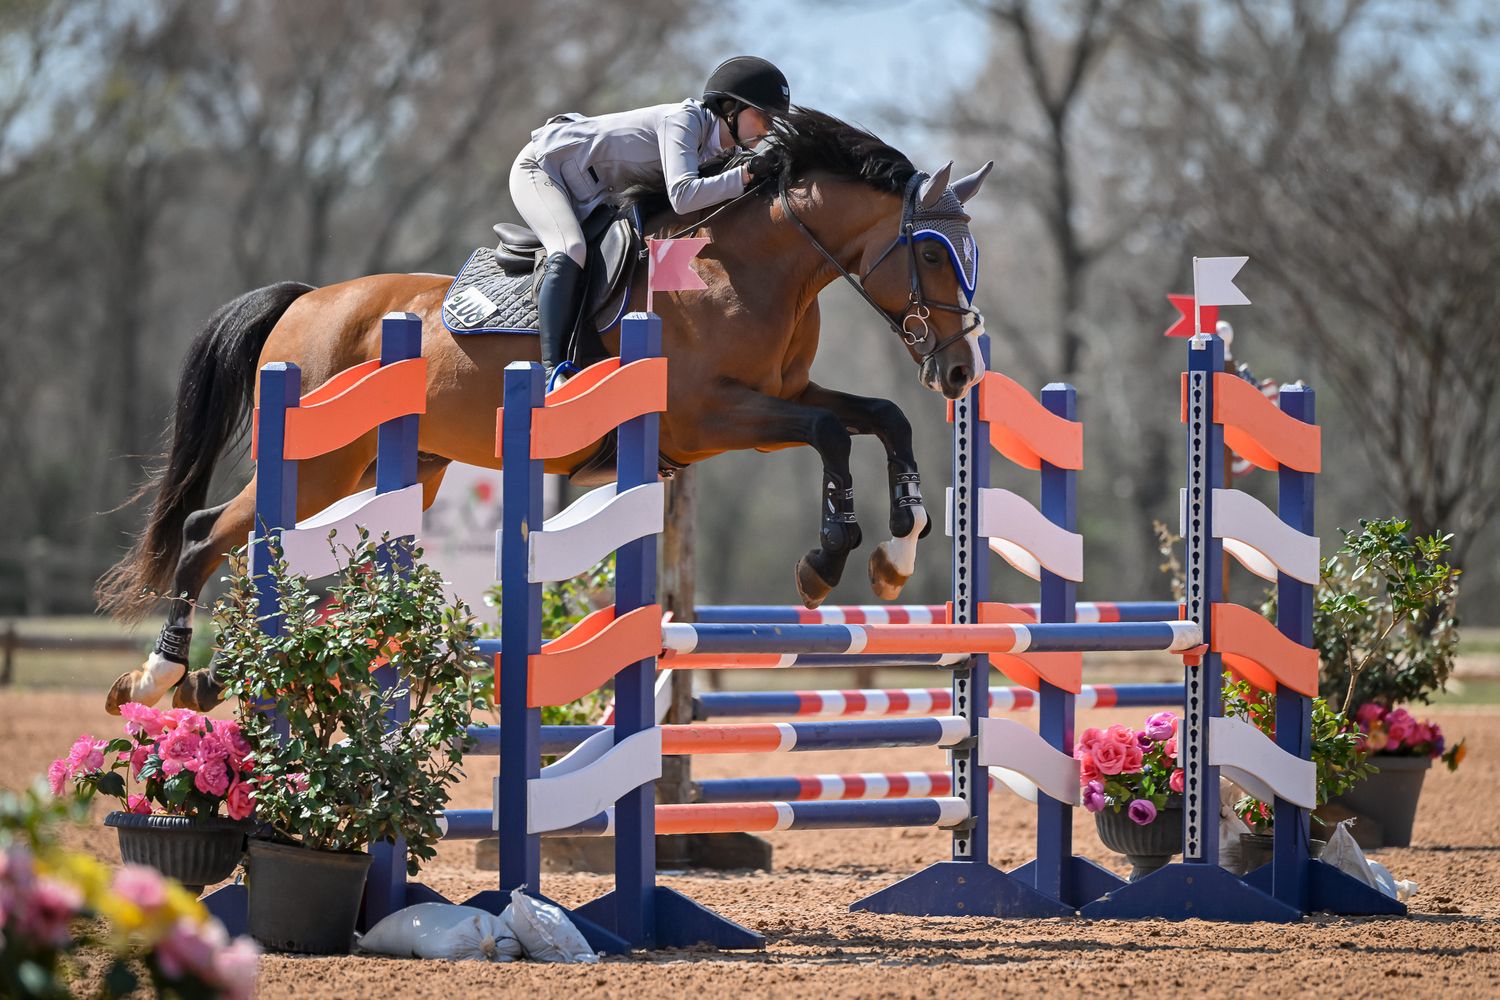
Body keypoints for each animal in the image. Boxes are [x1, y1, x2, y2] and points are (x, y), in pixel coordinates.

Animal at [97, 108, 992, 715]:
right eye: (931, 251)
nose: (960, 370)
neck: (746, 266)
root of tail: (305, 302)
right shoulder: (711, 417)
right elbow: (832, 432)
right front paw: (827, 557)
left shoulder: (779, 397)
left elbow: (880, 416)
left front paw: (898, 550)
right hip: (317, 463)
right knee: (207, 534)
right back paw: (159, 675)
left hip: (392, 472)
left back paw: (221, 677)